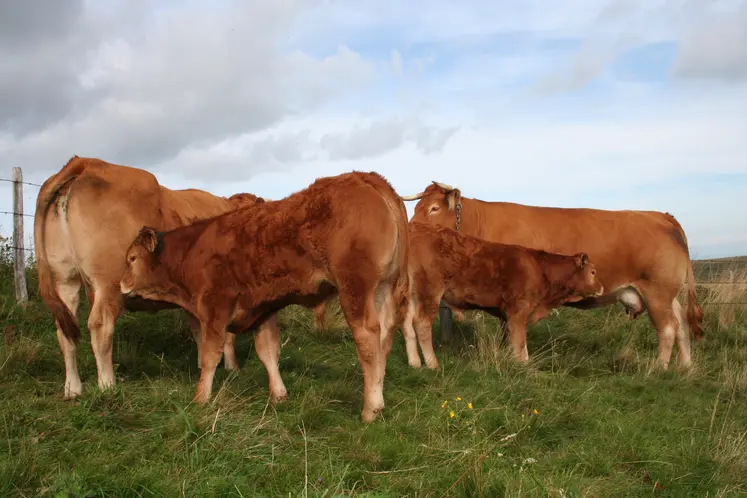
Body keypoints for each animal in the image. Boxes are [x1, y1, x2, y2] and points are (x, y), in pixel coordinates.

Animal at [34, 156, 266, 400]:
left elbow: (199, 330)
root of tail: (87, 162)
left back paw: (72, 388)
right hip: (108, 283)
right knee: (100, 327)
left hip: (64, 280)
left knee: (65, 330)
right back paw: (107, 385)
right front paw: (232, 368)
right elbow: (225, 333)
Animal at [118, 171, 409, 423]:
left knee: (367, 337)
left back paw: (371, 408)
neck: (192, 251)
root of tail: (365, 177)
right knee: (384, 336)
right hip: (383, 288)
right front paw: (279, 395)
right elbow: (268, 352)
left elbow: (210, 354)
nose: (120, 283)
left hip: (355, 290)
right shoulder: (263, 308)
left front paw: (200, 398)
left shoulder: (215, 307)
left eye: (132, 258)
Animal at [401, 222, 604, 368]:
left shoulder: (510, 315)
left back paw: (415, 363)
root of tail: (416, 228)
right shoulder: (518, 311)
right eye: (593, 272)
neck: (540, 269)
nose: (601, 288)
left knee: (407, 323)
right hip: (430, 291)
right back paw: (432, 364)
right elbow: (519, 342)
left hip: (409, 294)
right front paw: (521, 365)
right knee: (421, 323)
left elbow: (517, 342)